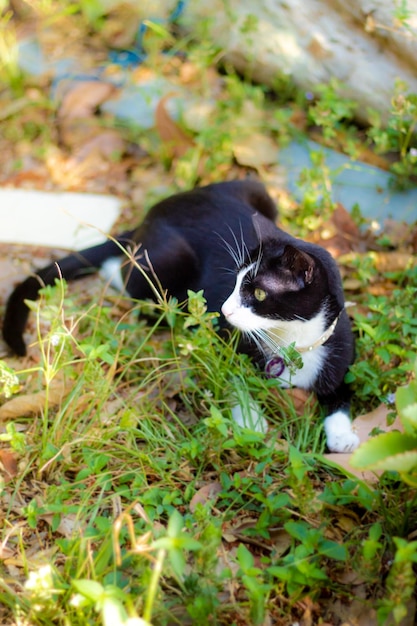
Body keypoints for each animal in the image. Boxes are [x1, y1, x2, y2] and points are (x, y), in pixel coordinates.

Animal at [1, 179, 358, 448]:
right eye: (234, 282)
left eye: (258, 293)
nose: (224, 309)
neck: (292, 342)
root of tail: (152, 213)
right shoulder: (222, 339)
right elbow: (226, 374)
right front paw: (251, 417)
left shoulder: (339, 345)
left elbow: (342, 391)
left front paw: (343, 436)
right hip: (170, 259)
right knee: (131, 277)